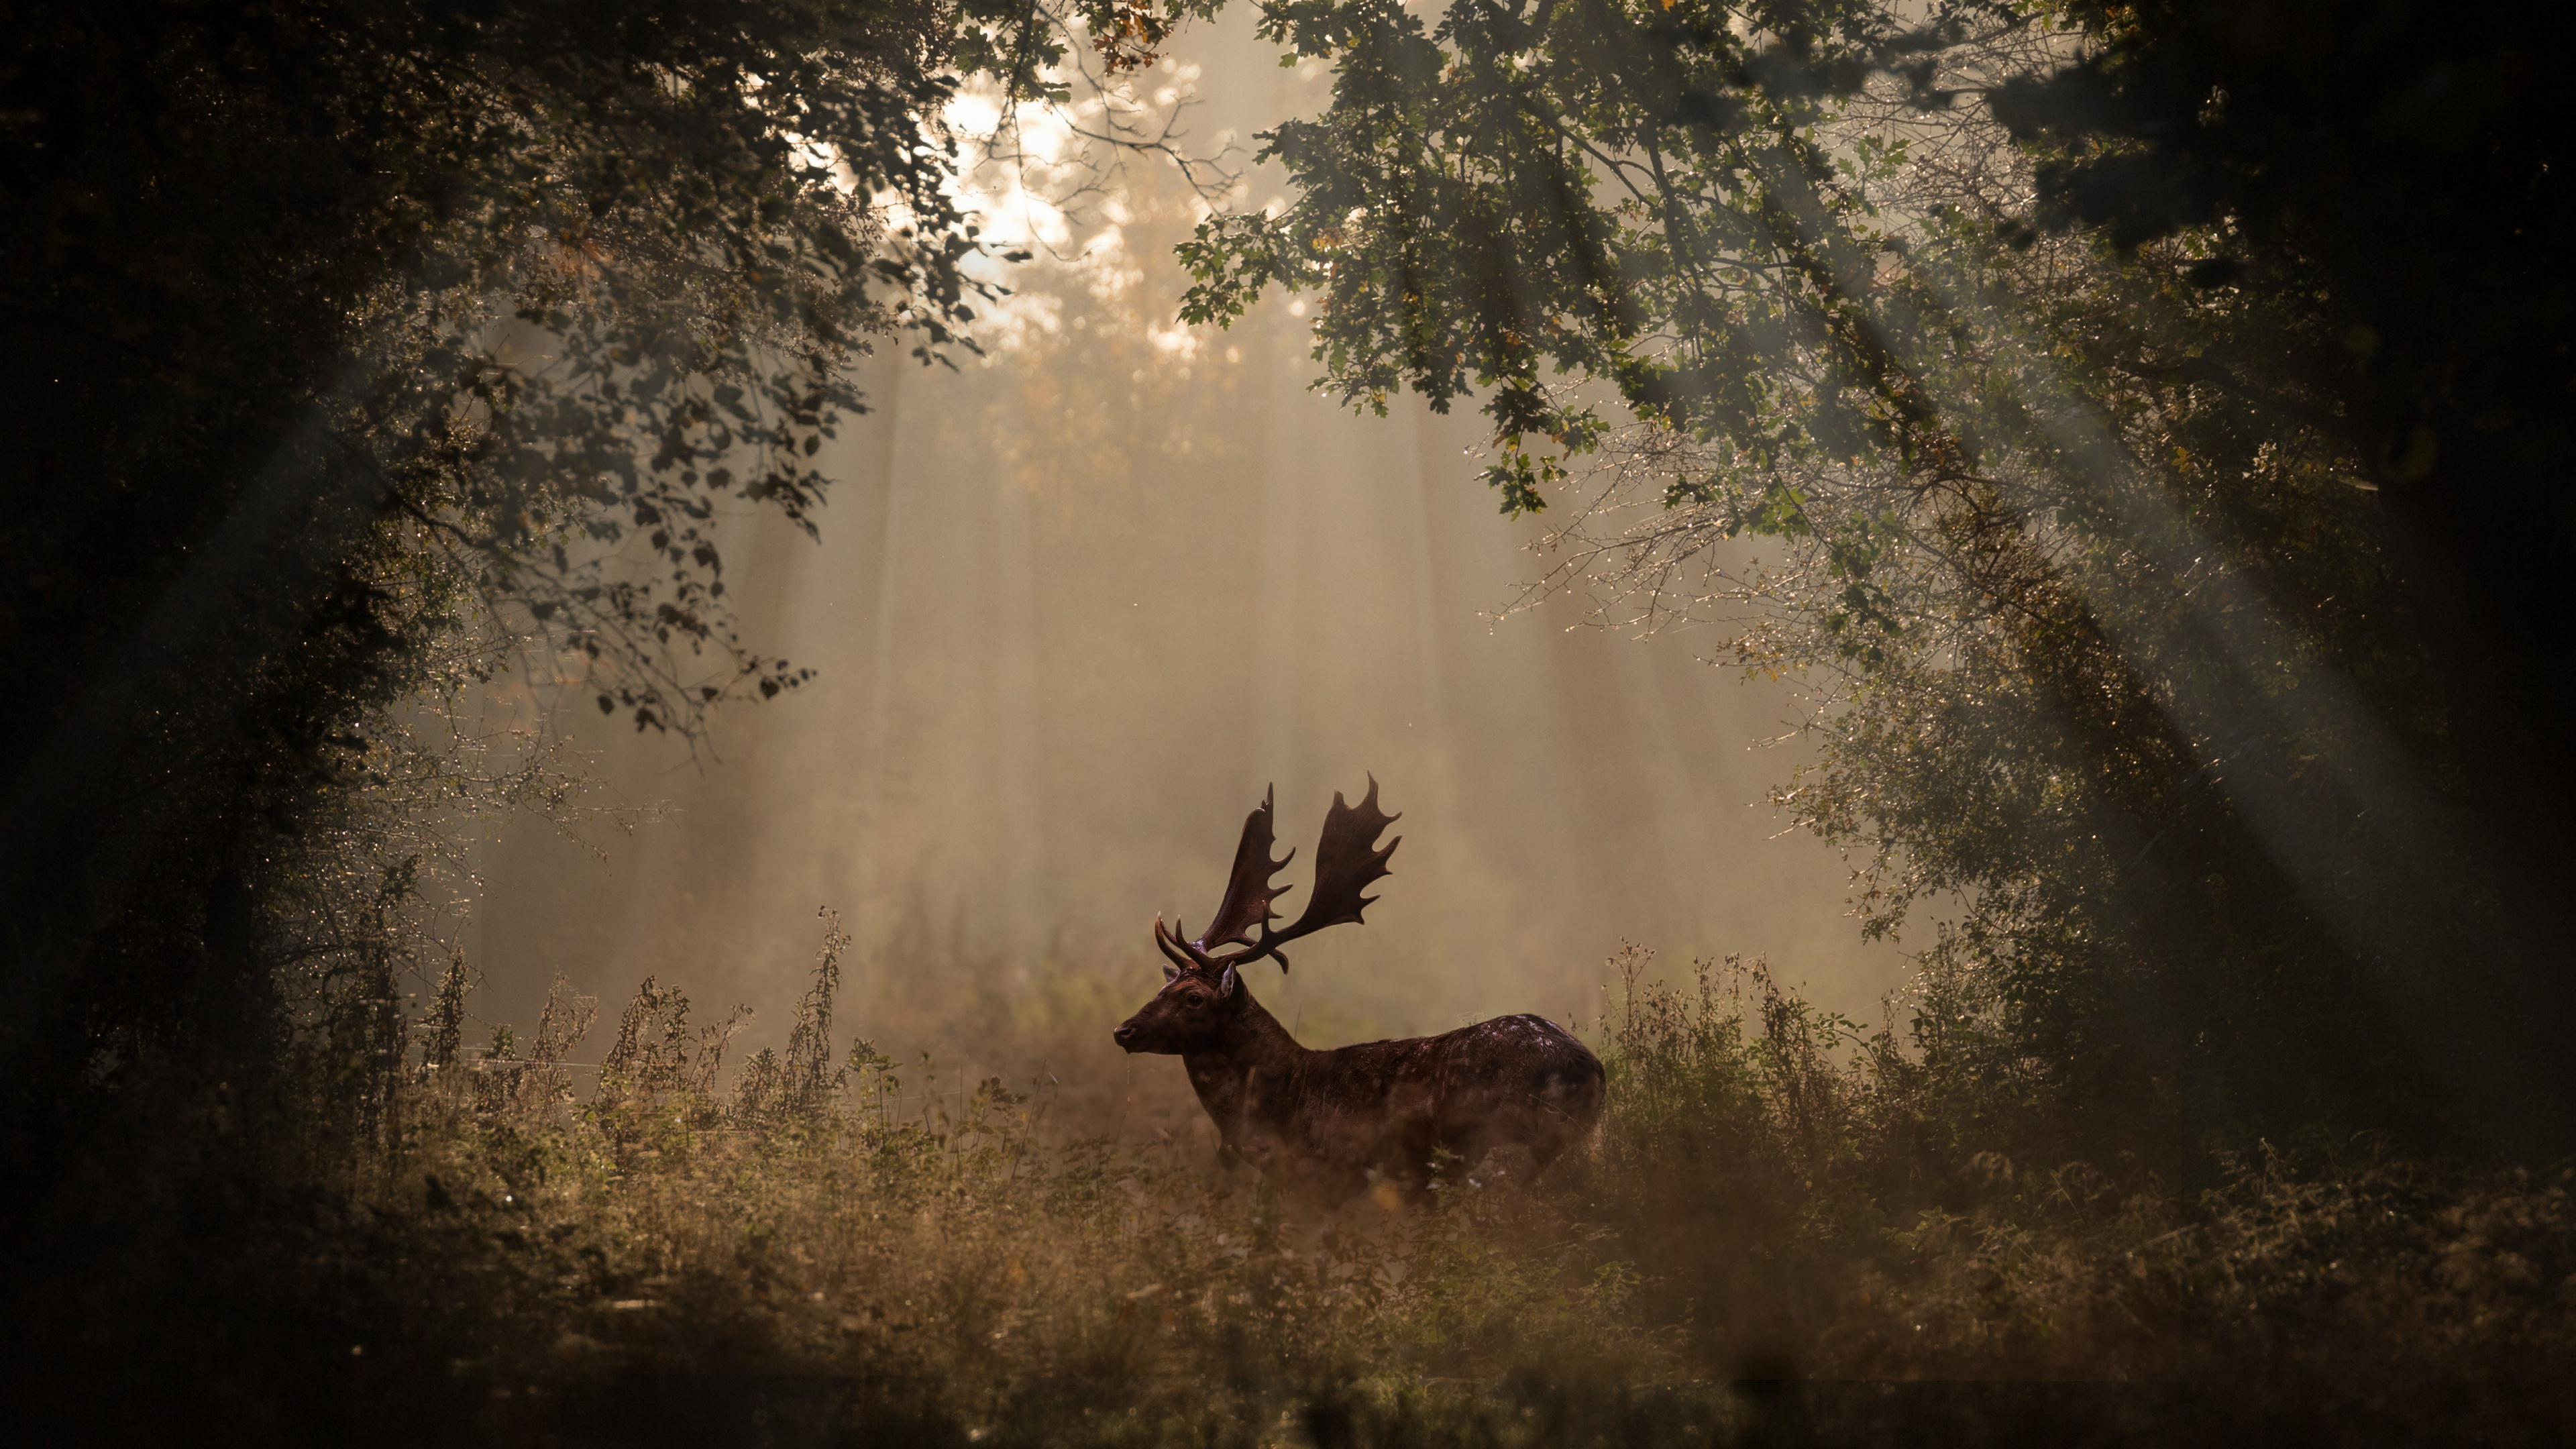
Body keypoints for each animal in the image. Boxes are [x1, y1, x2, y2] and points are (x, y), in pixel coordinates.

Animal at [1112, 778, 1597, 1196]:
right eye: (1163, 988)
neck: (1285, 1105)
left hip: (1502, 1142)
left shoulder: (1340, 1177)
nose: (1123, 1030)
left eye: (1194, 998)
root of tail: (1590, 1069)